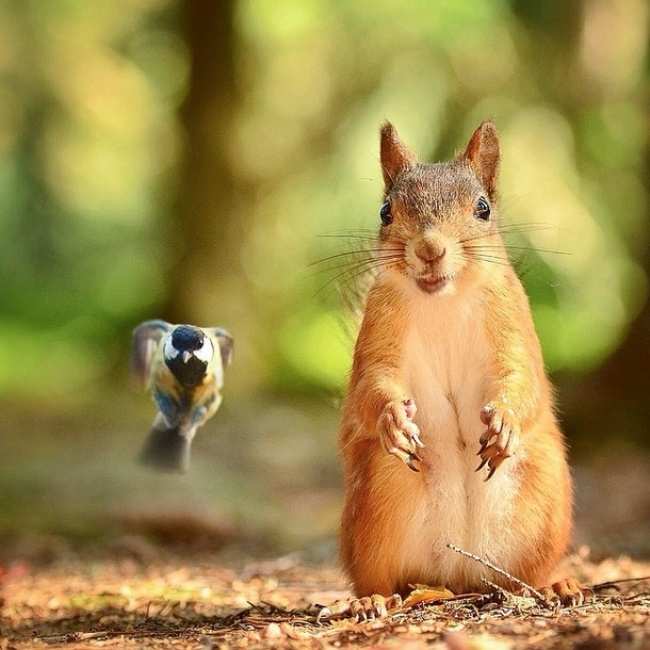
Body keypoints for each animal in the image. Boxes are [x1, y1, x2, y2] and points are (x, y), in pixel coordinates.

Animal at [330, 120, 576, 616]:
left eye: (483, 208)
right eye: (385, 211)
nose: (429, 249)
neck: (443, 299)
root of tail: (457, 576)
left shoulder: (512, 323)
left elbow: (522, 378)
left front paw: (504, 421)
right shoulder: (379, 330)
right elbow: (371, 383)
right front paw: (392, 419)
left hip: (544, 501)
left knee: (528, 577)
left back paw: (555, 587)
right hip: (378, 498)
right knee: (377, 577)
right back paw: (371, 600)